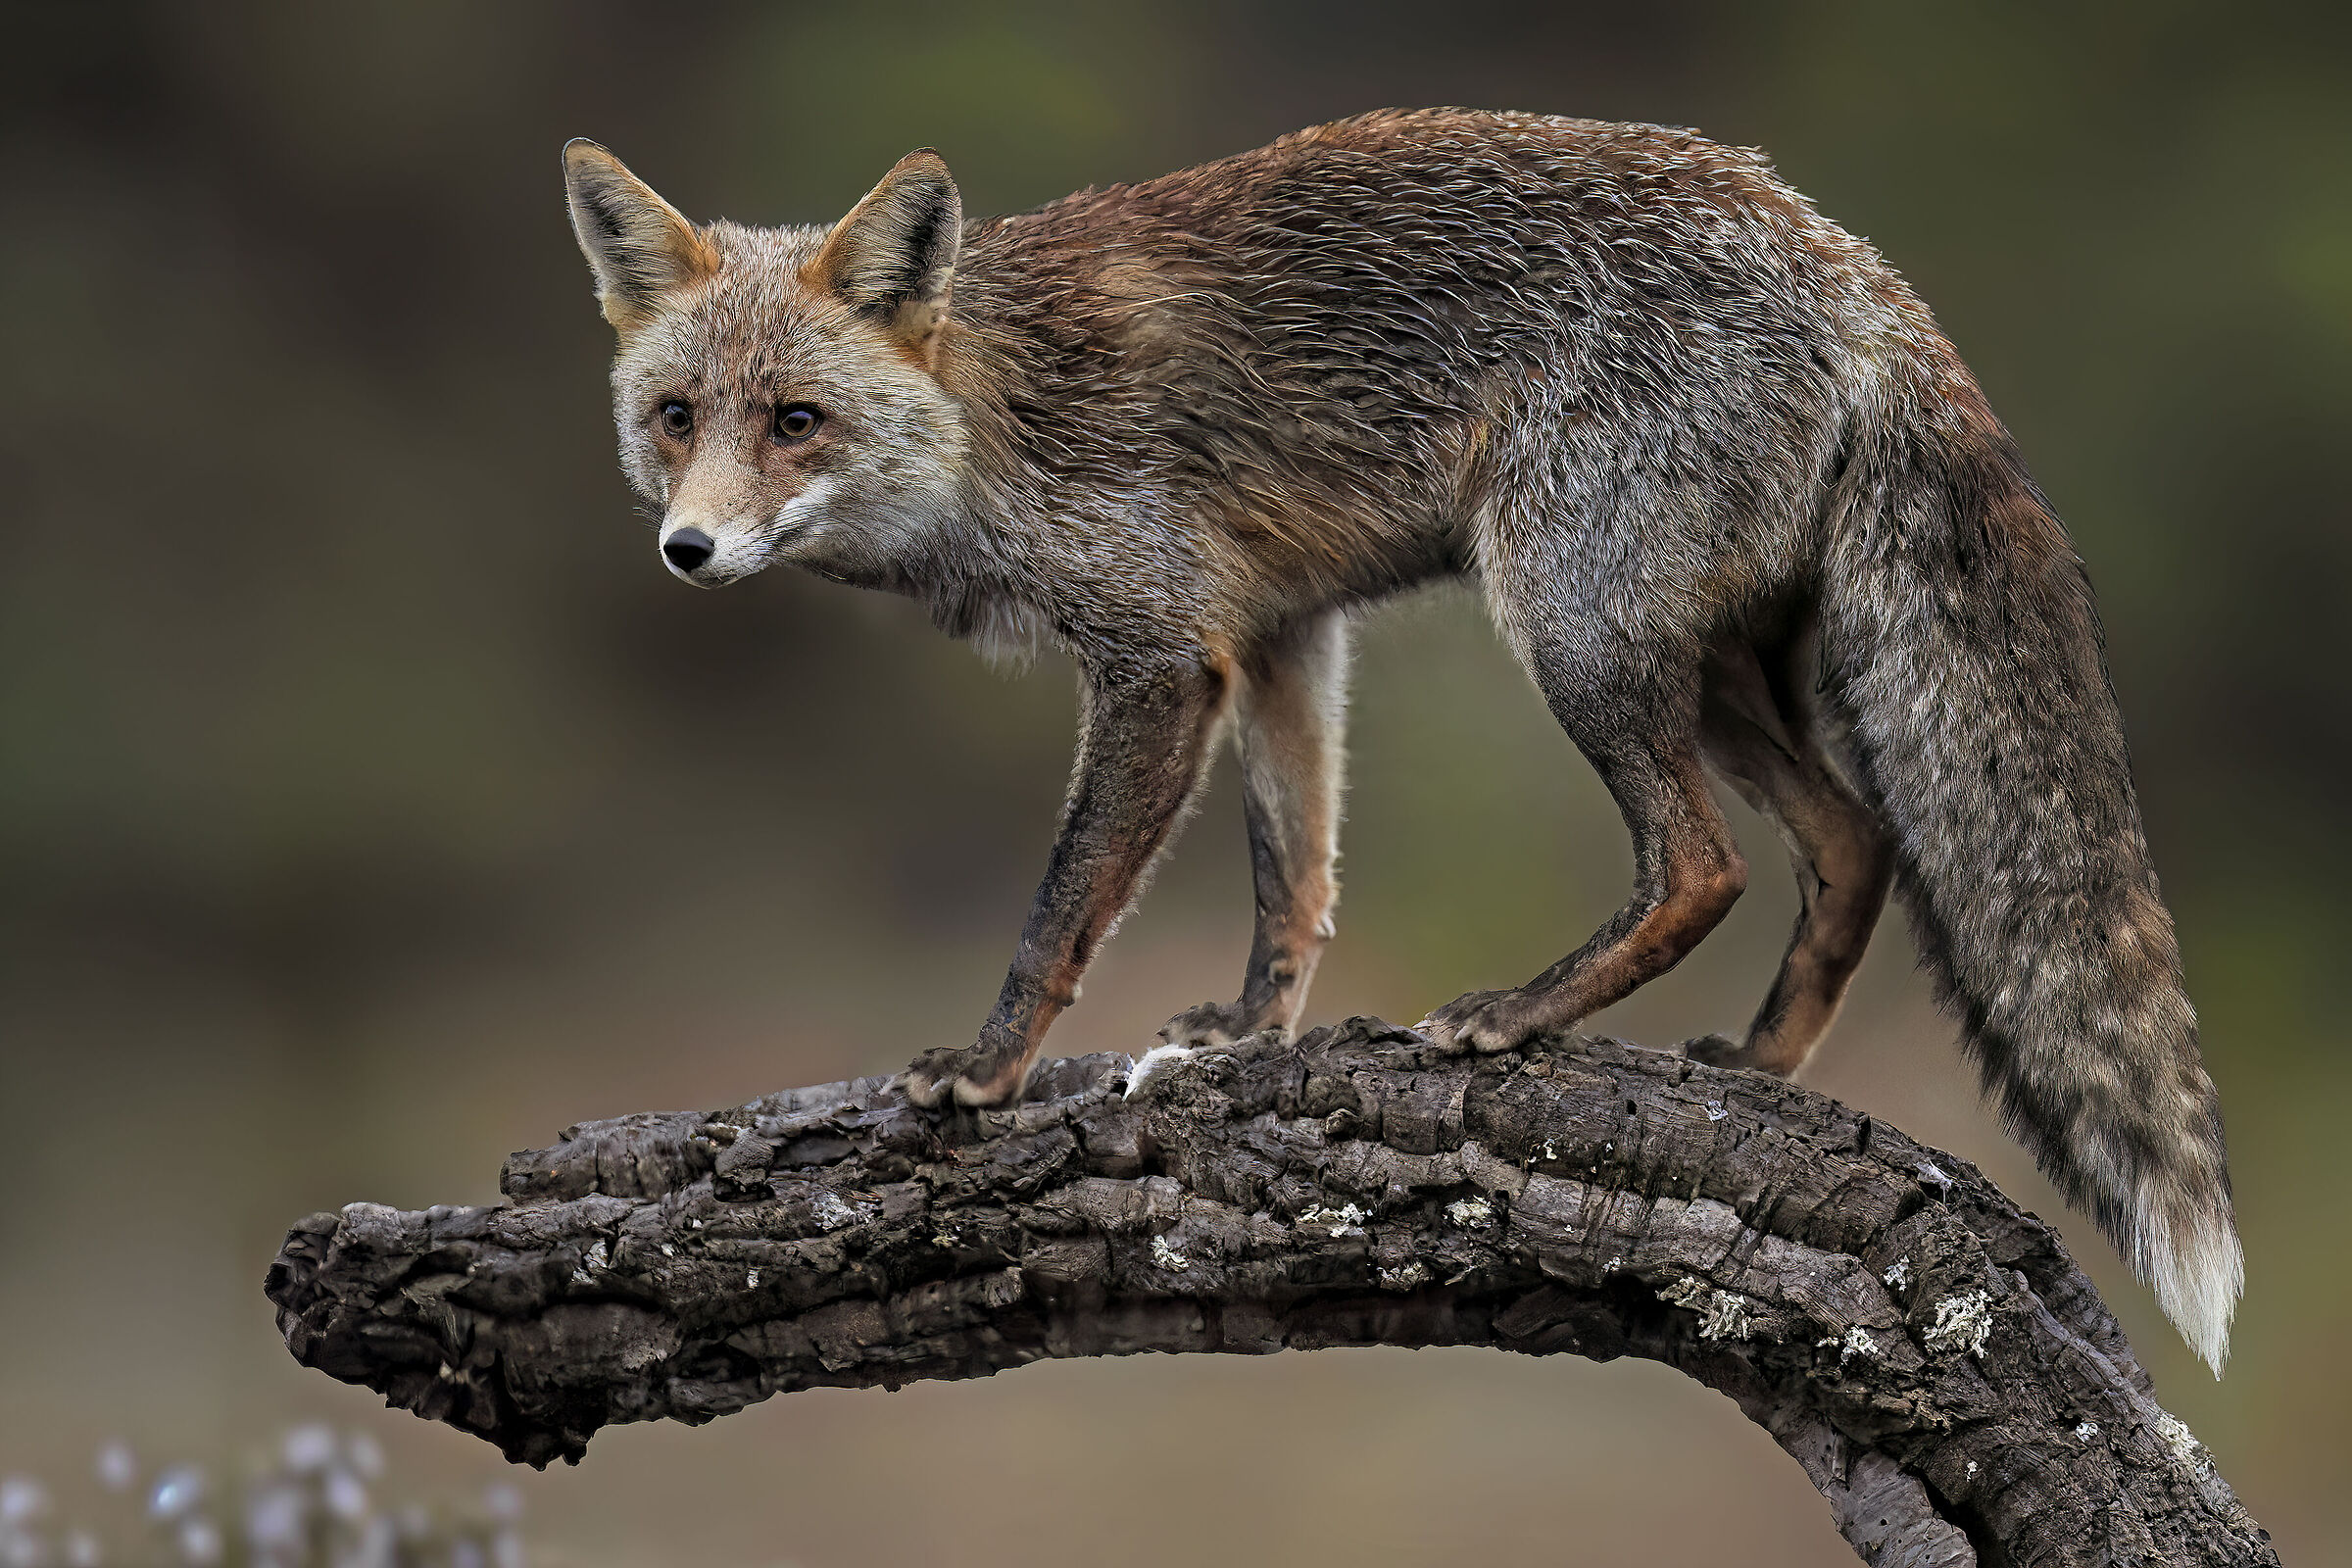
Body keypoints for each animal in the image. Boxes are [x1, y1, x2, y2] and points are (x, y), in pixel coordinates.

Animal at [561, 108, 2241, 1372]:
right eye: (676, 418)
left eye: (795, 423)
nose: (689, 552)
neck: (993, 417)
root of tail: (1847, 258)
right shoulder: (1283, 638)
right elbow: (1294, 876)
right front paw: (1250, 1037)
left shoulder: (1162, 659)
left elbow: (1062, 909)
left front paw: (985, 1074)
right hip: (1703, 665)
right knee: (1853, 834)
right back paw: (1756, 1074)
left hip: (1577, 633)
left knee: (1704, 866)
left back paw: (1521, 1018)